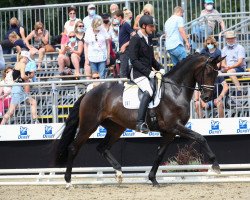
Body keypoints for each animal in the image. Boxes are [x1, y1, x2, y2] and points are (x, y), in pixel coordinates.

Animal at [55, 53, 225, 188]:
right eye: (208, 72)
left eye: (216, 74)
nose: (207, 98)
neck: (176, 90)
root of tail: (88, 93)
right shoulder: (174, 126)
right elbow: (200, 138)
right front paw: (216, 166)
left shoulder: (169, 132)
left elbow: (159, 155)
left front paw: (153, 179)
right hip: (89, 125)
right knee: (73, 148)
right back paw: (68, 182)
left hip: (116, 128)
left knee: (102, 147)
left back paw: (119, 173)